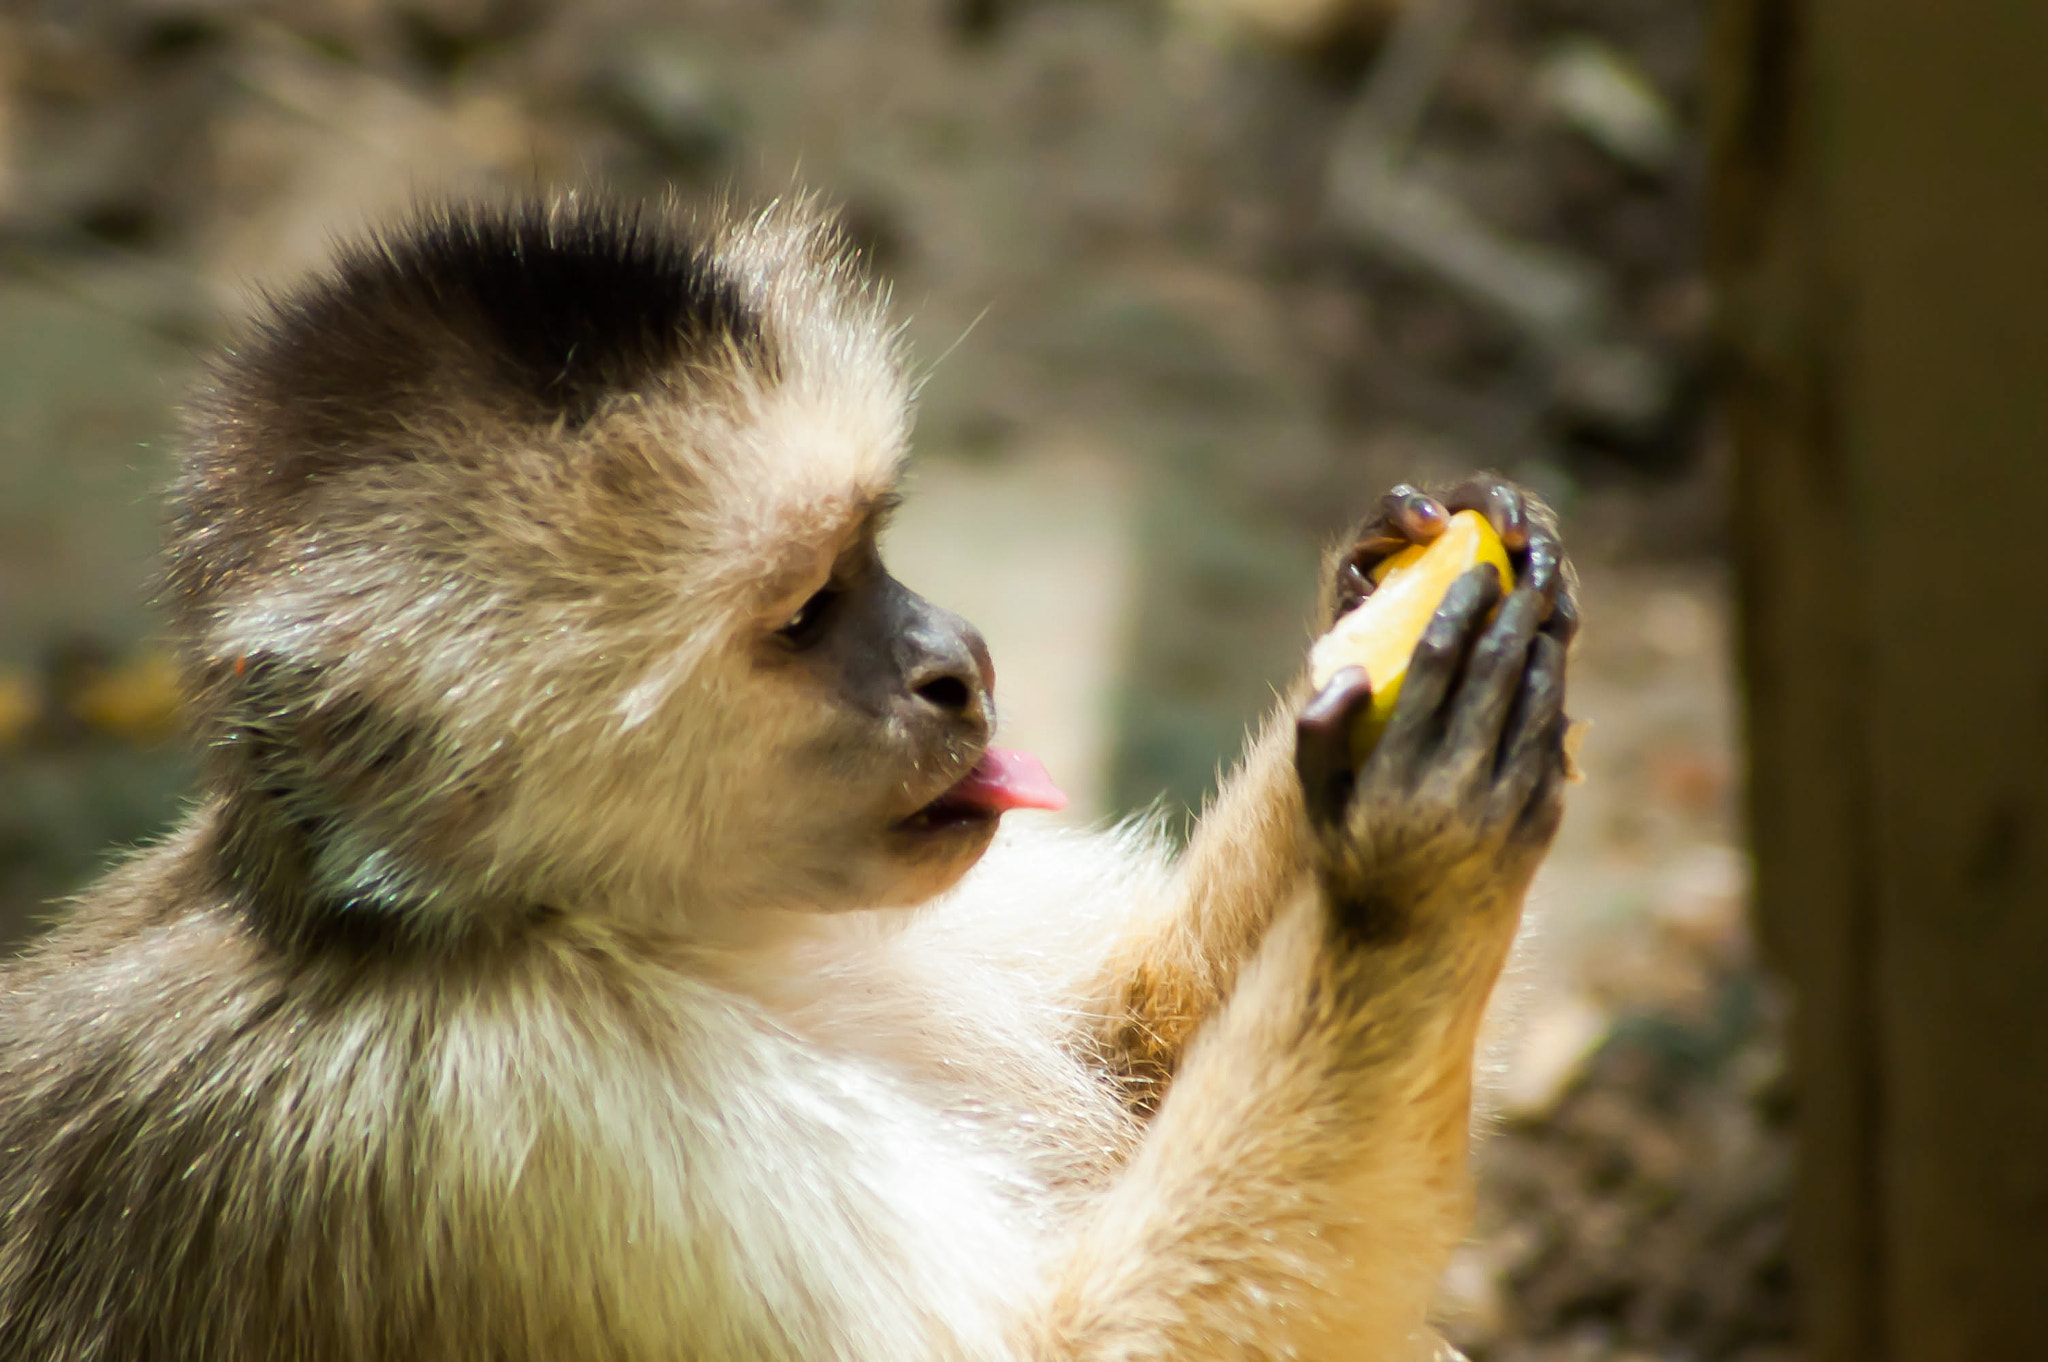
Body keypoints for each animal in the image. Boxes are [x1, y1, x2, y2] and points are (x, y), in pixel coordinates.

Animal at [0, 194, 1575, 1362]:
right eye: (813, 612)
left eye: (875, 551)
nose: (959, 661)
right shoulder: (510, 1109)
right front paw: (1410, 868)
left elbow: (1130, 1046)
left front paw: (1389, 595)